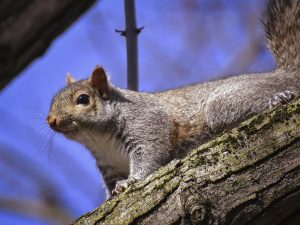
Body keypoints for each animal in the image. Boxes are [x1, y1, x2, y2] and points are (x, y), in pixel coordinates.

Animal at [46, 0, 300, 197]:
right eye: (54, 99)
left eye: (82, 99)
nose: (51, 120)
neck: (99, 139)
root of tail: (284, 75)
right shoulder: (109, 166)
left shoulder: (147, 125)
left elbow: (150, 156)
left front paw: (131, 181)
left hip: (223, 106)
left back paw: (278, 99)